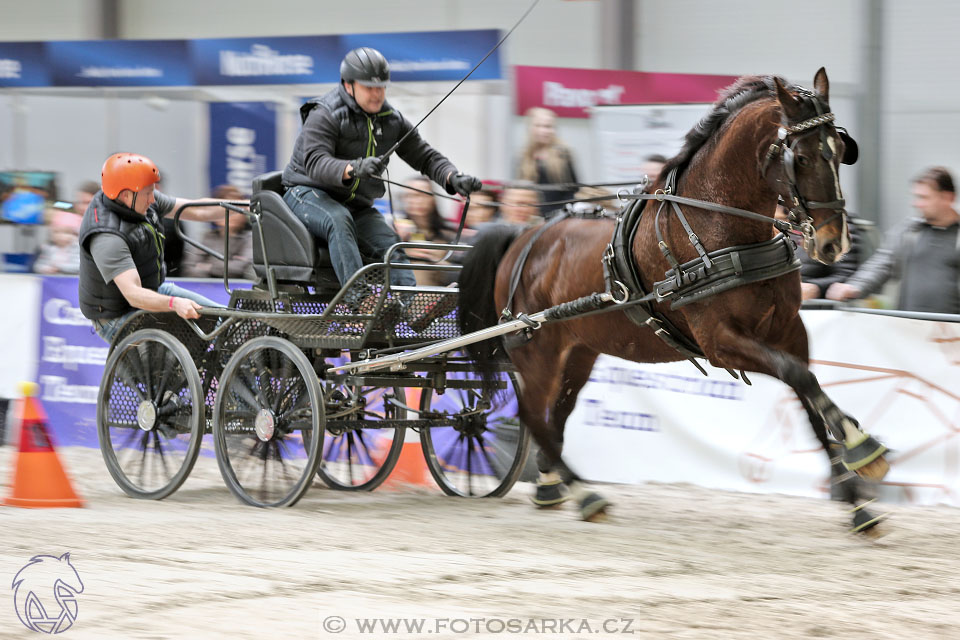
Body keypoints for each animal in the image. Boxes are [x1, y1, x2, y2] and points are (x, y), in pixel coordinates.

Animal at [462, 67, 888, 532]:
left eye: (841, 150)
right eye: (803, 158)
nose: (834, 243)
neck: (717, 228)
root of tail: (523, 235)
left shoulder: (789, 330)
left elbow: (807, 392)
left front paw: (857, 502)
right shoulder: (720, 343)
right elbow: (800, 378)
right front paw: (863, 445)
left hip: (578, 351)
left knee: (554, 416)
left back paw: (550, 487)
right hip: (535, 350)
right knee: (532, 415)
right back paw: (584, 494)